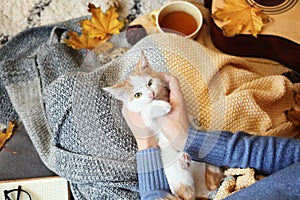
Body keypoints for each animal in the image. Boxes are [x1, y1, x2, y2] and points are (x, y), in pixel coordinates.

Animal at [103, 52, 223, 200]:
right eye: (137, 95)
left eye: (150, 83)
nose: (151, 94)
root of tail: (201, 191)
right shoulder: (145, 120)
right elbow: (146, 111)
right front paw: (160, 107)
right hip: (174, 170)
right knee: (188, 193)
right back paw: (184, 161)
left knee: (212, 179)